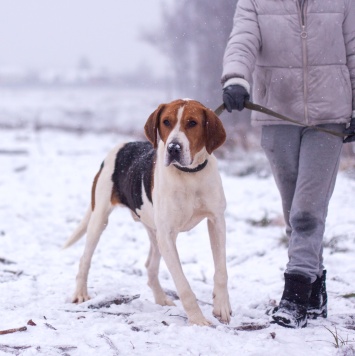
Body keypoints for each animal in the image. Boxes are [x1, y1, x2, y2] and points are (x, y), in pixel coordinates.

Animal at [63, 98, 234, 326]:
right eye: (166, 121)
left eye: (192, 123)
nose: (173, 148)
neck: (189, 175)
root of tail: (124, 145)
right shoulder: (168, 235)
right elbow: (183, 285)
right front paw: (198, 320)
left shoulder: (216, 221)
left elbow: (221, 270)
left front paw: (221, 306)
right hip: (100, 219)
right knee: (85, 259)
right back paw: (80, 293)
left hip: (155, 233)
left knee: (150, 266)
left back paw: (161, 298)